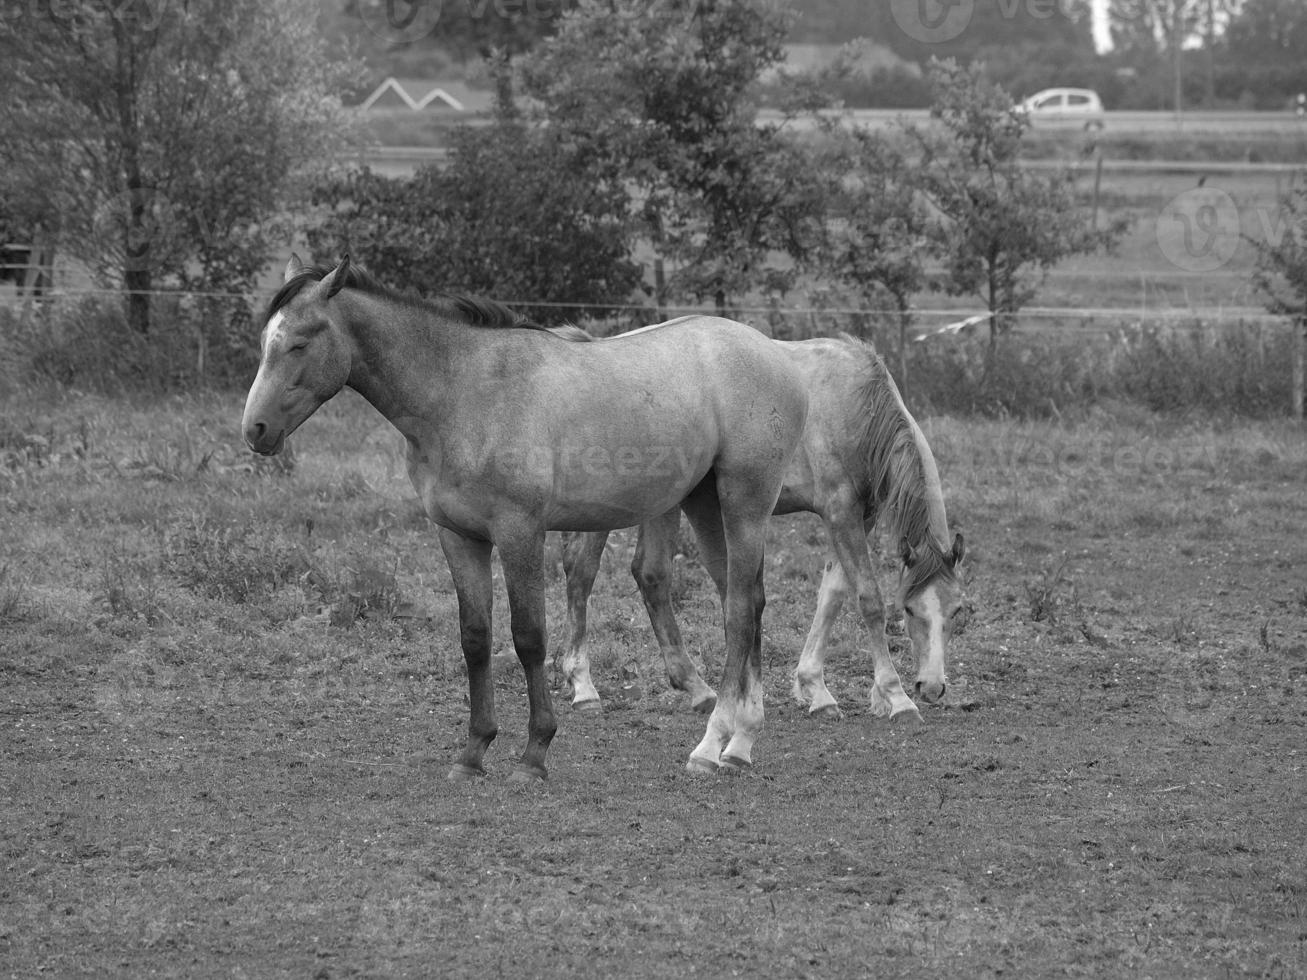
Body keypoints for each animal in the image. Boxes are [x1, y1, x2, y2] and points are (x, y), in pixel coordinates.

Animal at [239, 258, 799, 783]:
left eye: (300, 343)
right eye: (265, 341)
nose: (255, 430)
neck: (463, 394)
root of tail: (771, 352)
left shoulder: (519, 533)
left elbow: (529, 636)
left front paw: (534, 754)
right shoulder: (459, 537)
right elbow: (475, 637)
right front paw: (473, 753)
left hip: (744, 505)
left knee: (739, 611)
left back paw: (712, 746)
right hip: (703, 505)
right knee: (744, 601)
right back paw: (742, 739)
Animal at [556, 337, 967, 721]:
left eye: (957, 610)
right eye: (909, 609)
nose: (932, 687)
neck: (854, 406)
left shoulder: (859, 518)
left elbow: (832, 594)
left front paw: (818, 690)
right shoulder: (840, 513)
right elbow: (868, 599)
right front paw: (896, 697)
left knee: (650, 574)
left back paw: (695, 688)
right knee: (583, 573)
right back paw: (584, 686)